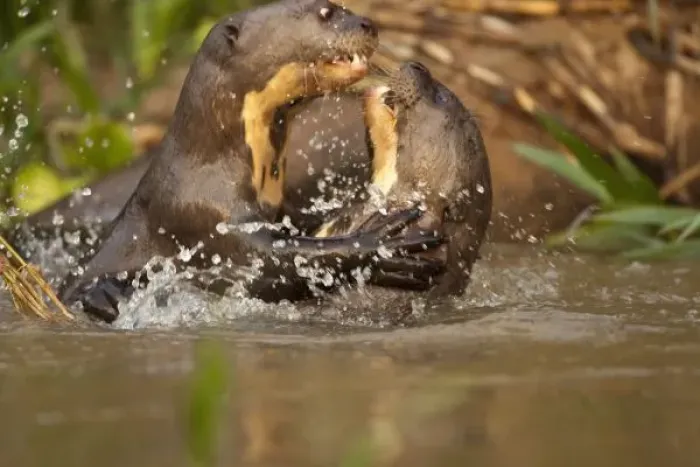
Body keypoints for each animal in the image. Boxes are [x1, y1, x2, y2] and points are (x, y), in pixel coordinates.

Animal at [57, 1, 445, 323]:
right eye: (325, 12)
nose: (368, 24)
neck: (211, 169)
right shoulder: (207, 219)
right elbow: (282, 260)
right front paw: (379, 246)